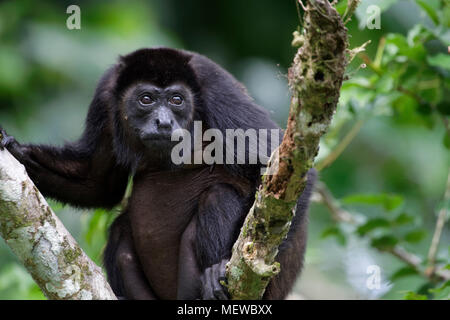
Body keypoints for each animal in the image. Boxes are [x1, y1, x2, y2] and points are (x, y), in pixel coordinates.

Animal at [0, 47, 316, 300]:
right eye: (146, 99)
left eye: (177, 100)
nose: (163, 122)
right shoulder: (105, 93)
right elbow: (97, 182)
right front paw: (16, 149)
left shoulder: (216, 87)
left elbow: (284, 167)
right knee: (119, 229)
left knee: (218, 196)